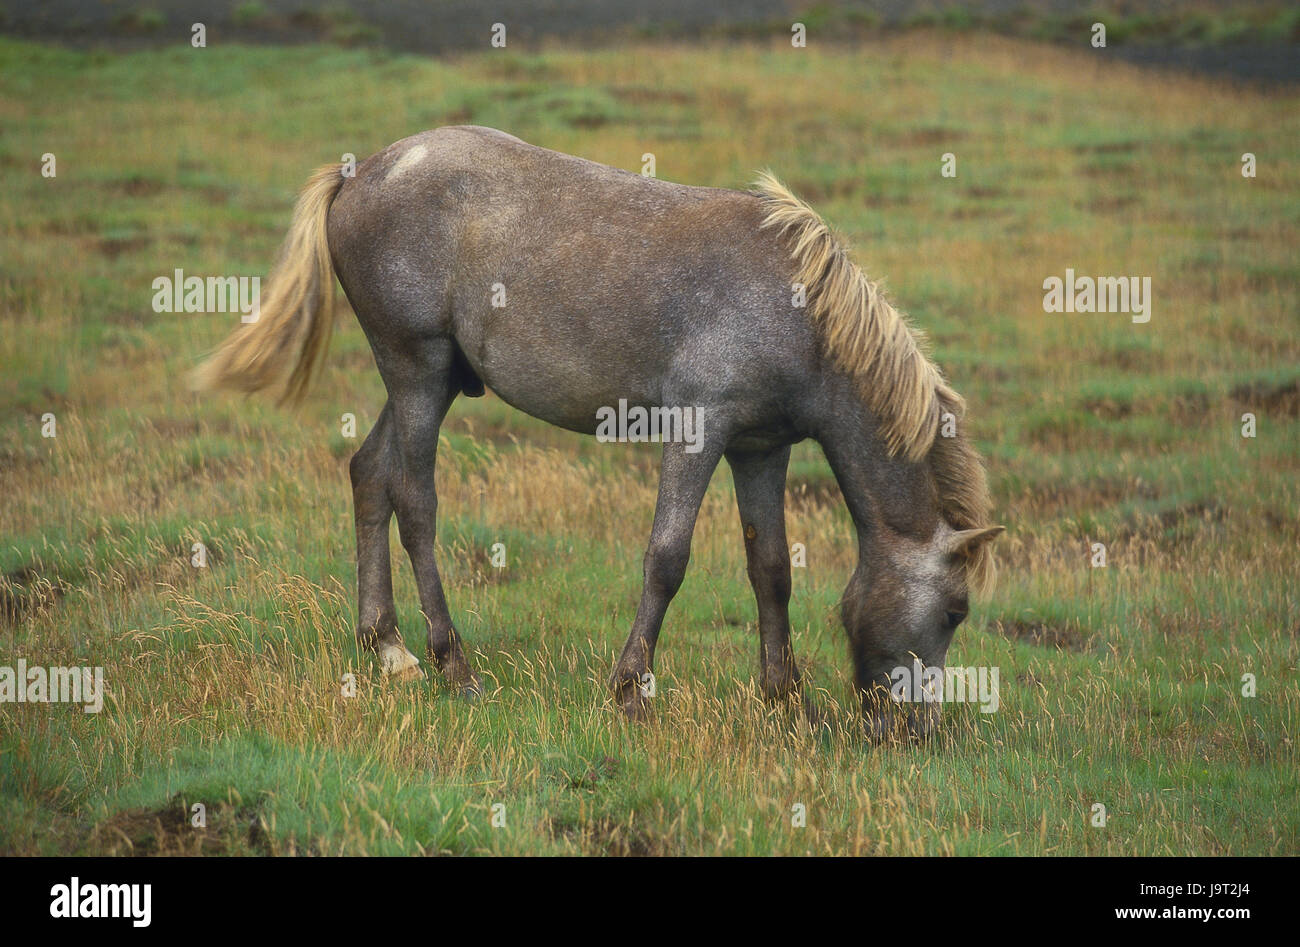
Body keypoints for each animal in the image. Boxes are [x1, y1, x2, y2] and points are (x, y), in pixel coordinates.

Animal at [195, 125, 1003, 738]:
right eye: (956, 610)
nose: (916, 731)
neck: (799, 311)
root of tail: (359, 174)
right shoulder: (697, 431)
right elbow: (667, 560)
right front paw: (628, 690)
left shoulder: (759, 450)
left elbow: (770, 568)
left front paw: (784, 700)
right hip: (416, 371)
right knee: (414, 502)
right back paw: (453, 666)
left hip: (433, 379)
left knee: (368, 475)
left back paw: (386, 648)